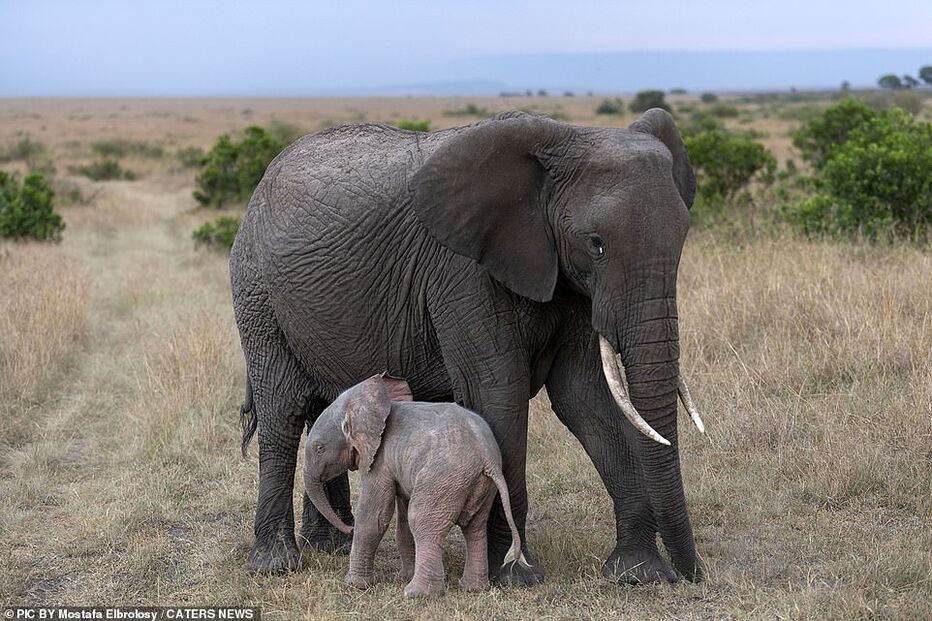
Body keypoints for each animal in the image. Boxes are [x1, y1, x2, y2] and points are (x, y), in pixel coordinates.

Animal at [303, 373, 529, 597]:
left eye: (320, 449)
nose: (348, 529)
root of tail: (487, 456)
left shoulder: (379, 461)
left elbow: (375, 516)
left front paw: (355, 584)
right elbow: (402, 520)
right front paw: (401, 576)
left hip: (443, 480)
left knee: (422, 522)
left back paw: (417, 594)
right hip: (479, 484)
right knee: (475, 528)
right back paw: (473, 587)